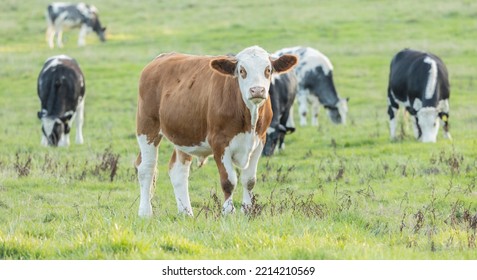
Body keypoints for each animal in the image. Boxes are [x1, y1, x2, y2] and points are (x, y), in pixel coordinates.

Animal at [136, 45, 296, 217]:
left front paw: (247, 211)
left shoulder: (259, 142)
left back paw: (186, 213)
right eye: (242, 70)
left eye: (268, 70)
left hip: (184, 134)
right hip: (147, 126)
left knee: (178, 171)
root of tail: (161, 58)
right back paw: (145, 212)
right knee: (146, 168)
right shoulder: (220, 143)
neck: (249, 118)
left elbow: (249, 180)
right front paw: (228, 212)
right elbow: (229, 181)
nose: (257, 90)